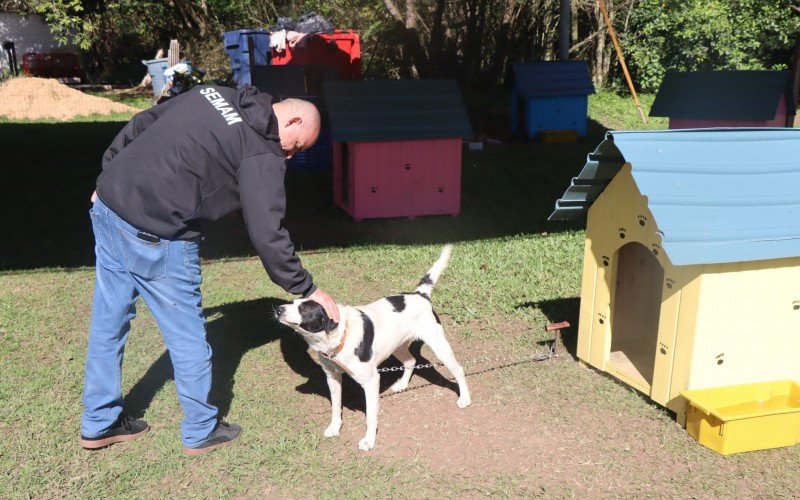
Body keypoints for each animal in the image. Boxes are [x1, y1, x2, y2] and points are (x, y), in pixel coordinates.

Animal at [278, 244, 472, 452]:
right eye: (292, 303)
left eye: (306, 309)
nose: (278, 309)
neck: (342, 336)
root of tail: (419, 295)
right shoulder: (332, 376)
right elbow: (335, 407)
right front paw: (335, 427)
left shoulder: (371, 381)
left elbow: (370, 416)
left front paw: (369, 441)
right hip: (397, 346)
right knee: (411, 360)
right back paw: (403, 384)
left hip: (439, 346)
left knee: (459, 369)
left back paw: (464, 398)